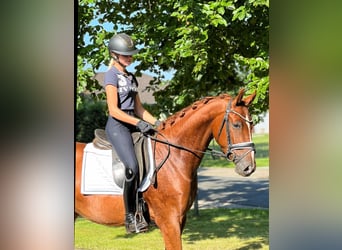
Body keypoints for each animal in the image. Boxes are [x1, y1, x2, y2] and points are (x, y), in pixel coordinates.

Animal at [75, 88, 256, 248]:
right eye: (236, 125)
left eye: (252, 125)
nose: (249, 167)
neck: (175, 156)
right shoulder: (169, 221)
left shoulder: (180, 220)